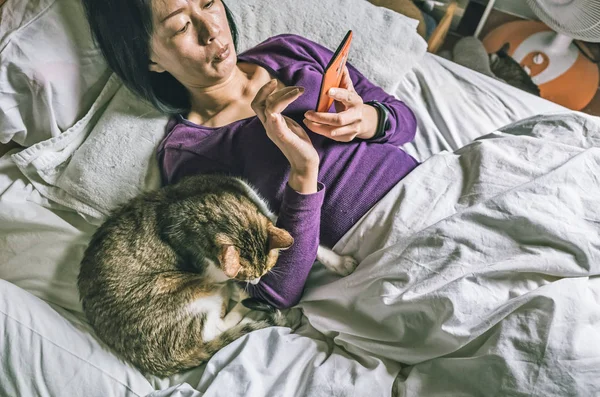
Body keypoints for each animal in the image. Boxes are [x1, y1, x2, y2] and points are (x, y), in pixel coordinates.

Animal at [77, 173, 354, 374]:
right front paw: (242, 289)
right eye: (250, 275)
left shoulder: (262, 209)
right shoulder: (210, 268)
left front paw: (340, 262)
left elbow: (310, 245)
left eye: (266, 269)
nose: (257, 280)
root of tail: (154, 361)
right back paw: (247, 303)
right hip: (185, 291)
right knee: (215, 325)